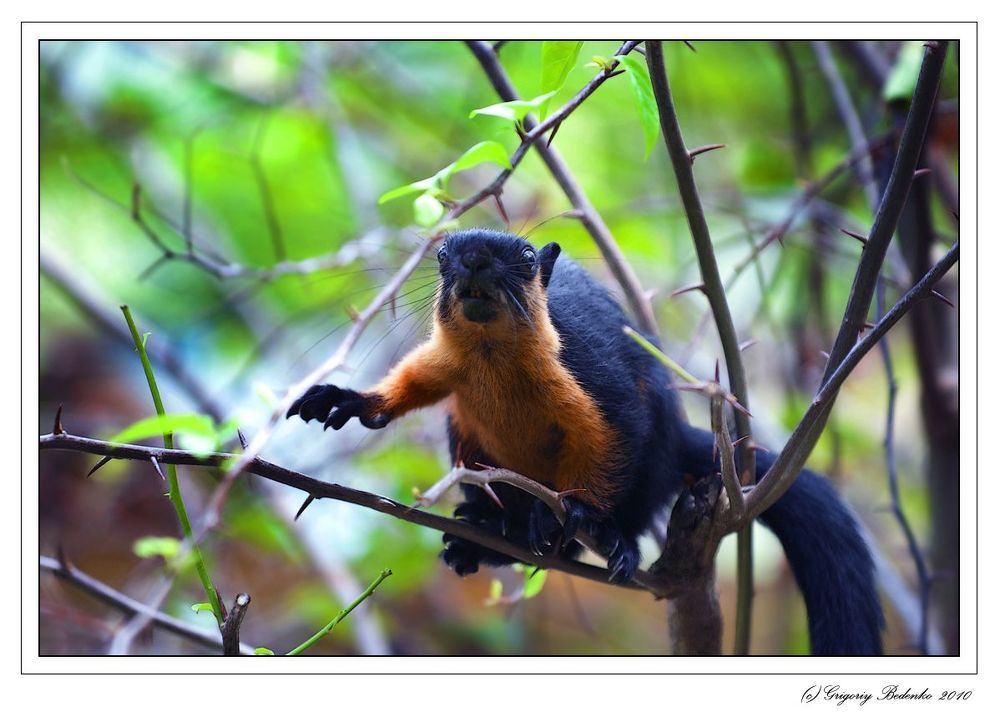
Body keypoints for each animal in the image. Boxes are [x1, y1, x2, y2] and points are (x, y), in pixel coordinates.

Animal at [287, 228, 884, 655]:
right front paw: (350, 400)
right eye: (442, 255)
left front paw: (575, 510)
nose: (474, 259)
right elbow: (412, 382)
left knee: (616, 517)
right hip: (468, 446)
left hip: (652, 464)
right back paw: (489, 531)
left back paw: (586, 536)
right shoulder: (445, 364)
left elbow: (608, 441)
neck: (489, 359)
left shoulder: (595, 381)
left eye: (528, 256)